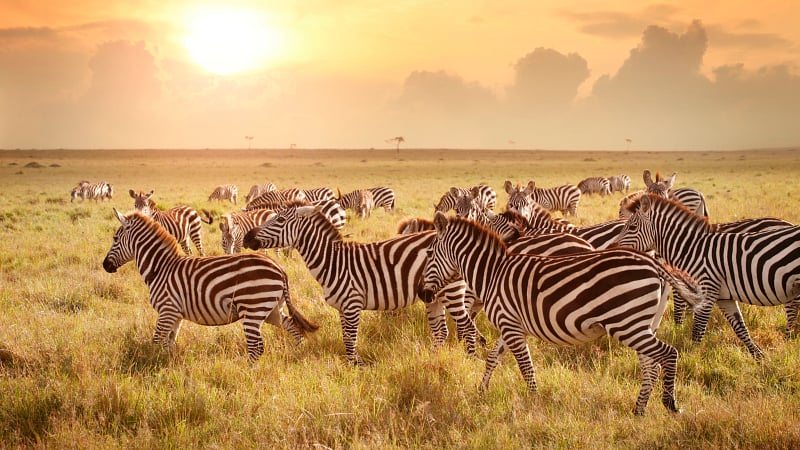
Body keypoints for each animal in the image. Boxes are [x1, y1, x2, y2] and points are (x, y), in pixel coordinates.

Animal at [102, 208, 318, 361]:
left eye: (115, 238)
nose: (105, 265)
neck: (161, 268)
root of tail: (280, 269)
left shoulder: (167, 310)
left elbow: (156, 341)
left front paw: (152, 365)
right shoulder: (175, 314)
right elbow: (169, 343)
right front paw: (168, 365)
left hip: (253, 308)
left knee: (256, 347)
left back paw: (247, 373)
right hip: (272, 309)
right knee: (292, 326)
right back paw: (297, 352)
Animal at [242, 202, 478, 364]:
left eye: (280, 220)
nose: (246, 238)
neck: (333, 262)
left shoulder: (352, 303)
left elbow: (350, 339)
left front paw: (356, 367)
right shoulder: (341, 307)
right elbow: (346, 337)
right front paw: (351, 366)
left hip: (451, 292)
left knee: (468, 327)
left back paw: (471, 359)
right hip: (433, 296)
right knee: (442, 331)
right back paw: (433, 360)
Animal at [422, 213, 704, 415]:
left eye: (429, 254)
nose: (424, 295)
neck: (493, 273)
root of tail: (654, 263)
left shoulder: (511, 326)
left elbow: (526, 367)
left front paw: (534, 402)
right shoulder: (510, 325)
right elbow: (492, 358)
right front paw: (481, 391)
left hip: (627, 324)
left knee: (668, 354)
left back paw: (669, 404)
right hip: (643, 324)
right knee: (651, 365)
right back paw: (639, 410)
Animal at [614, 194, 800, 357]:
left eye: (632, 227)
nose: (613, 247)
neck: (692, 248)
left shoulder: (705, 291)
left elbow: (697, 331)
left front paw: (692, 360)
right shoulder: (724, 297)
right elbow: (740, 329)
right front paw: (759, 357)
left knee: (792, 314)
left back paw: (787, 342)